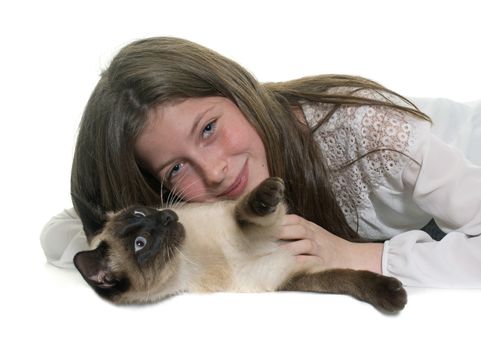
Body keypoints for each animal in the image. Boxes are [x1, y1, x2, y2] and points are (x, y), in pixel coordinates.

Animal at [74, 178, 404, 312]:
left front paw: (267, 193)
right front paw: (395, 295)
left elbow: (247, 208)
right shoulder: (291, 277)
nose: (166, 217)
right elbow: (346, 278)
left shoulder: (252, 220)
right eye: (141, 244)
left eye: (141, 213)